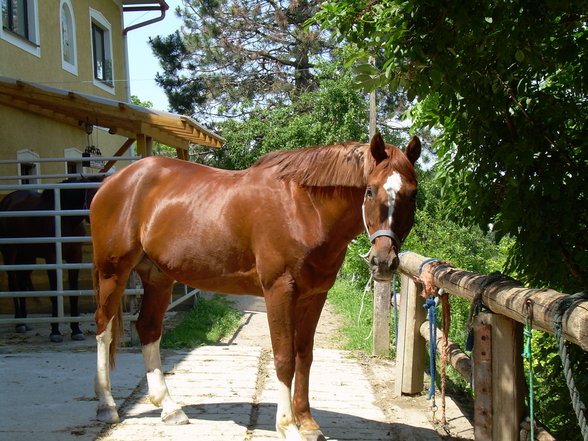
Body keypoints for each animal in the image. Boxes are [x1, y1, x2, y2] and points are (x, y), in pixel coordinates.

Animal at [0, 177, 100, 342]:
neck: (65, 220)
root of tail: (8, 199)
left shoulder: (75, 257)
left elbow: (74, 293)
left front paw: (76, 330)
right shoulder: (52, 258)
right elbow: (54, 294)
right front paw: (55, 331)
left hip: (28, 257)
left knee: (22, 283)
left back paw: (25, 321)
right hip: (10, 252)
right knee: (13, 284)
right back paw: (19, 322)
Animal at [92, 134, 420, 440]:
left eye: (412, 194)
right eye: (370, 191)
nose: (383, 262)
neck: (303, 209)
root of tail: (115, 181)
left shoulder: (315, 296)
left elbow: (305, 356)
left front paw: (308, 423)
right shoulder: (279, 291)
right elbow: (284, 358)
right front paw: (287, 426)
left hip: (158, 276)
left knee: (148, 329)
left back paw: (170, 408)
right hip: (113, 273)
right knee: (103, 329)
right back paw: (107, 406)